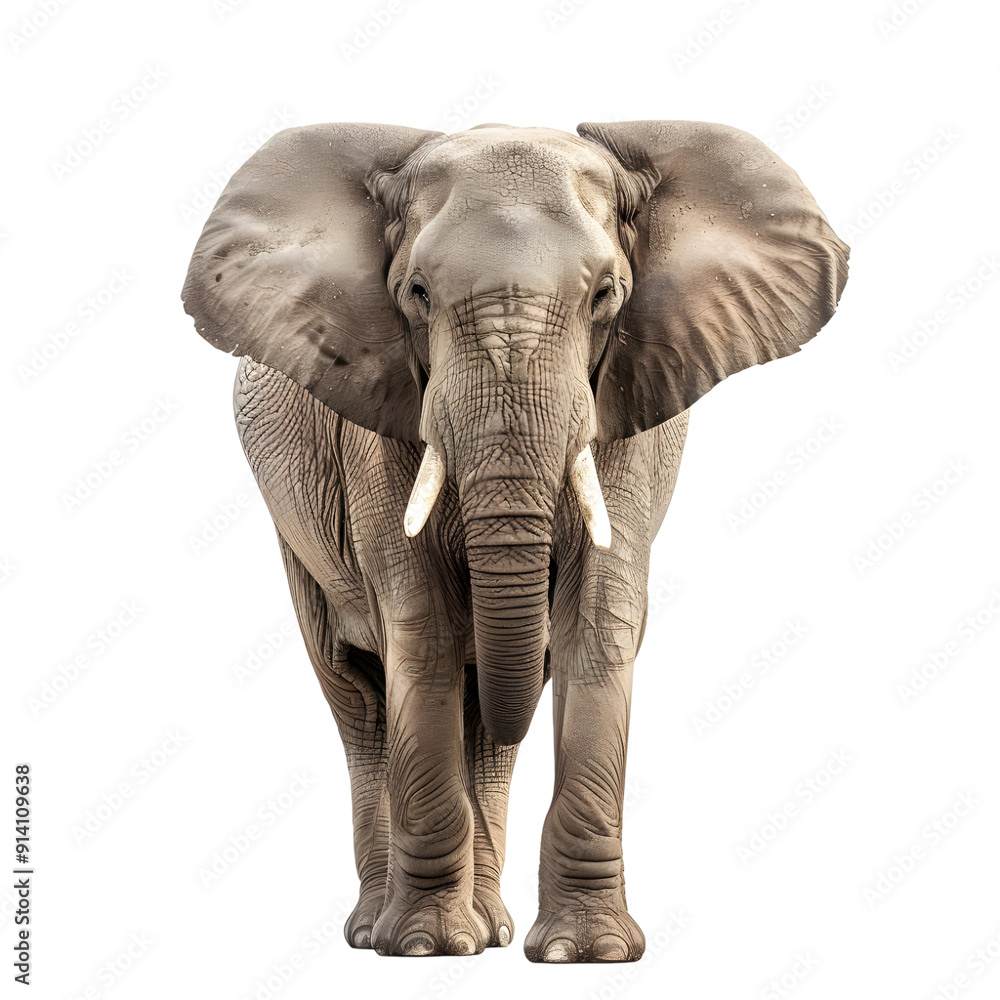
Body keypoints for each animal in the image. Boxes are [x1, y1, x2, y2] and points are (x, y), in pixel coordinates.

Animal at [182, 120, 848, 962]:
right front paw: (426, 947)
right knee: (360, 700)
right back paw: (382, 931)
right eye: (416, 294)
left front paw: (587, 953)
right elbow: (421, 628)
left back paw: (491, 928)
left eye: (605, 295)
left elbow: (598, 624)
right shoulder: (377, 420)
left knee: (481, 726)